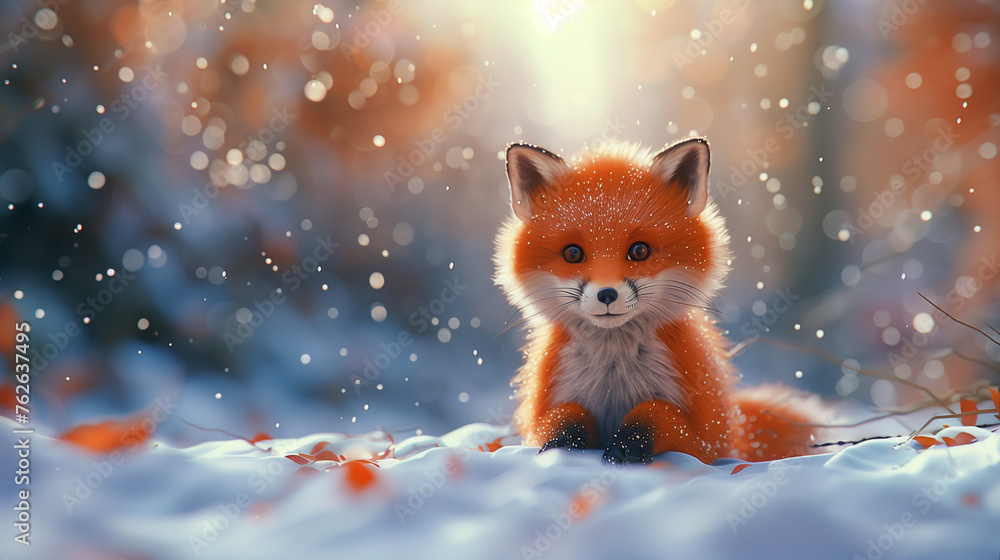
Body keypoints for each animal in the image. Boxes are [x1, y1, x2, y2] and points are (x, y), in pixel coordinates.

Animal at [494, 138, 820, 464]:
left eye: (639, 251)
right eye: (573, 253)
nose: (607, 294)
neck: (614, 373)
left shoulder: (706, 438)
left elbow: (658, 412)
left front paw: (629, 443)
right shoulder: (549, 400)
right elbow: (564, 415)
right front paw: (563, 441)